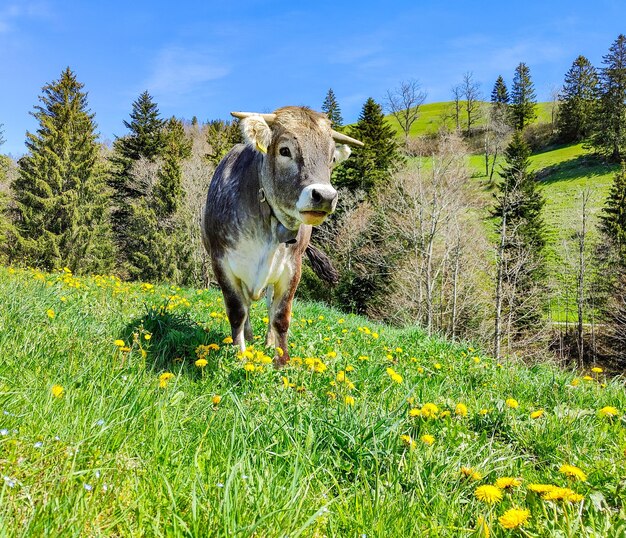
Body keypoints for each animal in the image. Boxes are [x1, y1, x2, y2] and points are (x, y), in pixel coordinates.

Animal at [201, 105, 360, 364]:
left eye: (331, 158)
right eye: (285, 150)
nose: (325, 196)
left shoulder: (292, 267)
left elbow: (280, 316)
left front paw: (282, 361)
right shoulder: (221, 262)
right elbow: (237, 311)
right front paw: (240, 357)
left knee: (267, 304)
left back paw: (268, 341)